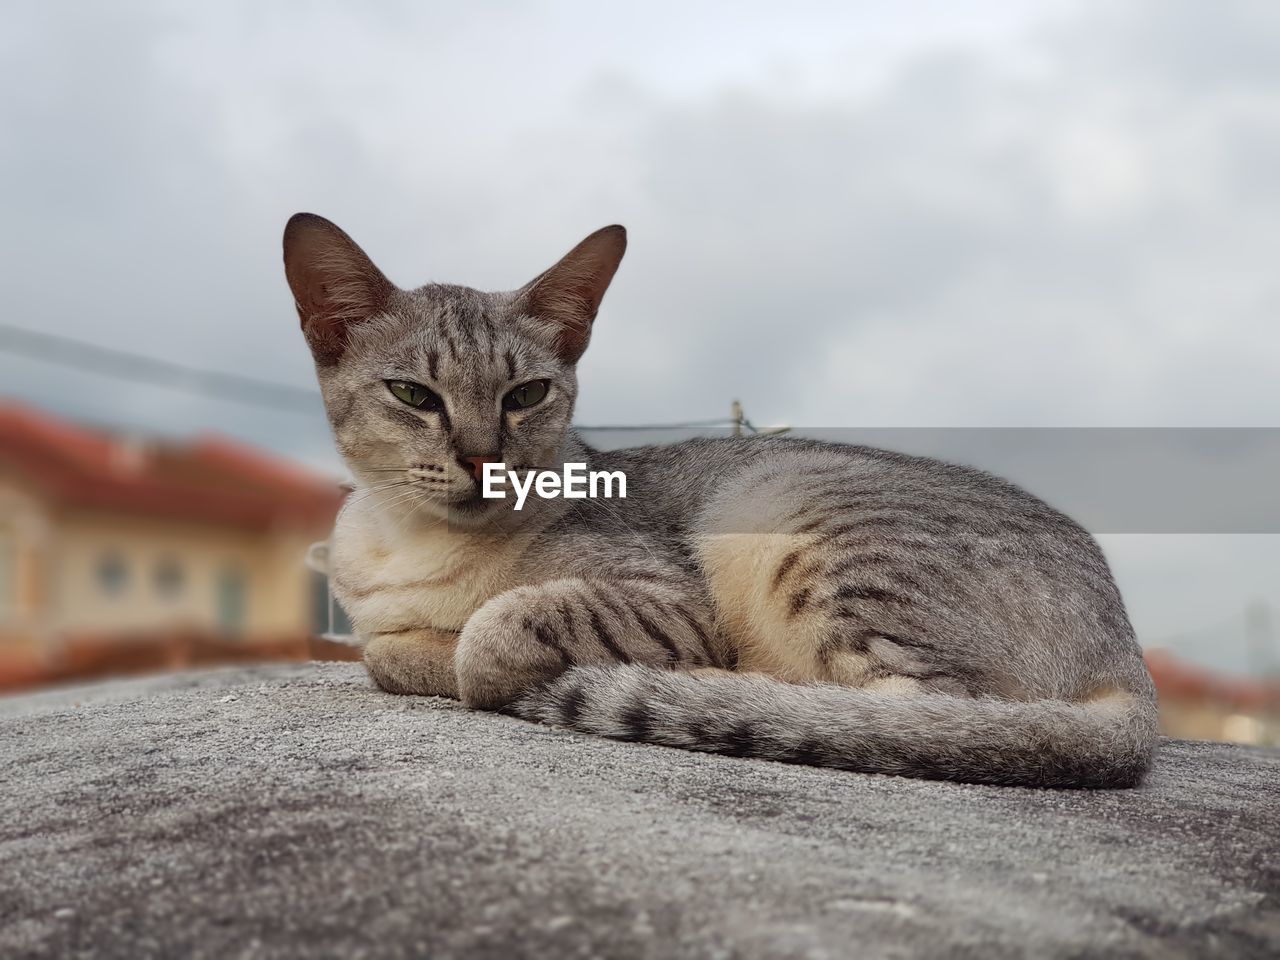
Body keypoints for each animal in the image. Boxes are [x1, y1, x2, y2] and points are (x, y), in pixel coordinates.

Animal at [282, 216, 1162, 788]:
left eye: (527, 394)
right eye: (412, 394)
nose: (483, 458)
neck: (418, 547)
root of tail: (1130, 660)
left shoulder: (675, 603)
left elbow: (494, 628)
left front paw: (477, 653)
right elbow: (386, 651)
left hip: (790, 511)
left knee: (909, 714)